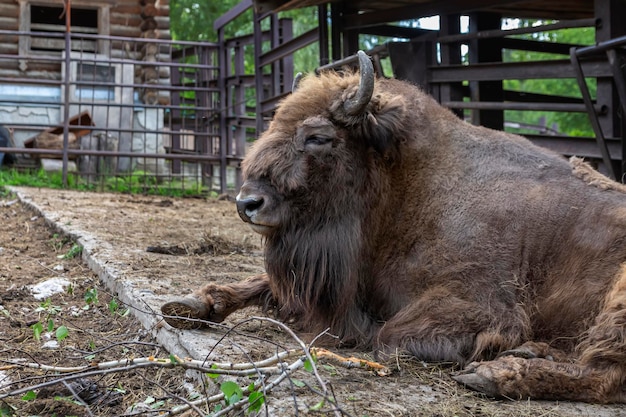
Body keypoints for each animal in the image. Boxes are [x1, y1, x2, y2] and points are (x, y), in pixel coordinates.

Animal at [161, 50, 626, 402]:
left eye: (318, 137)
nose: (247, 203)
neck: (410, 185)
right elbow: (262, 284)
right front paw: (191, 304)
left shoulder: (480, 303)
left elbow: (384, 334)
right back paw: (531, 353)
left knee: (606, 376)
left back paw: (498, 372)